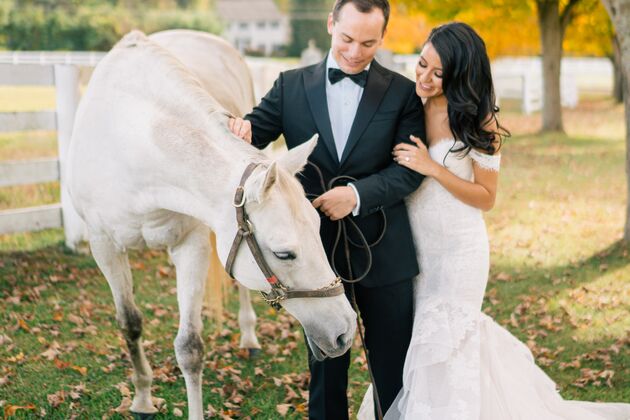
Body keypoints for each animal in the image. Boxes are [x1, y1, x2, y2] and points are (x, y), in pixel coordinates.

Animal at [67, 30, 356, 419]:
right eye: (284, 254)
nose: (345, 330)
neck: (132, 141)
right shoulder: (104, 247)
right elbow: (130, 324)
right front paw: (142, 397)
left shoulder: (190, 245)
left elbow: (189, 347)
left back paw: (248, 337)